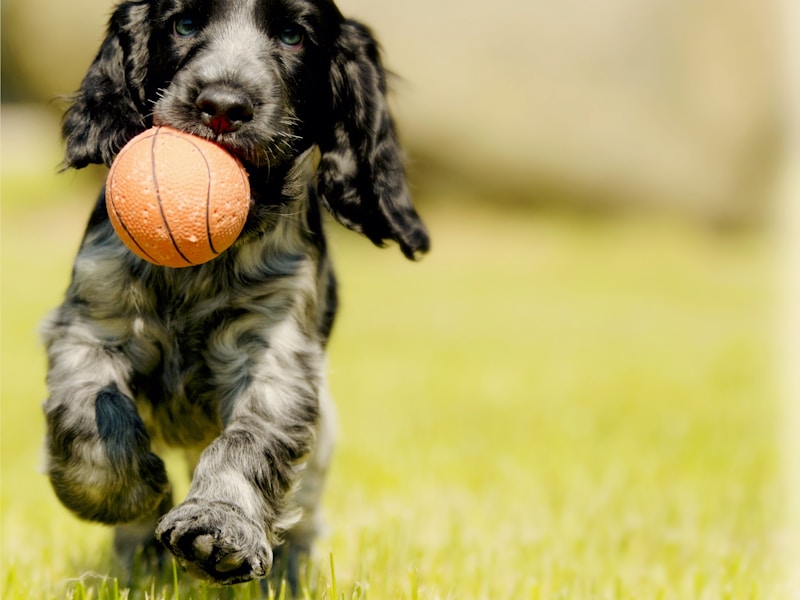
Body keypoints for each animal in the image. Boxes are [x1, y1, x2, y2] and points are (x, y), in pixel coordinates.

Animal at [42, 0, 432, 588]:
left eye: (293, 35)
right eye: (183, 24)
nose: (223, 107)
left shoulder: (275, 353)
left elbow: (248, 440)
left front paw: (218, 529)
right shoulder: (92, 320)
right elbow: (91, 405)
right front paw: (126, 494)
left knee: (305, 511)